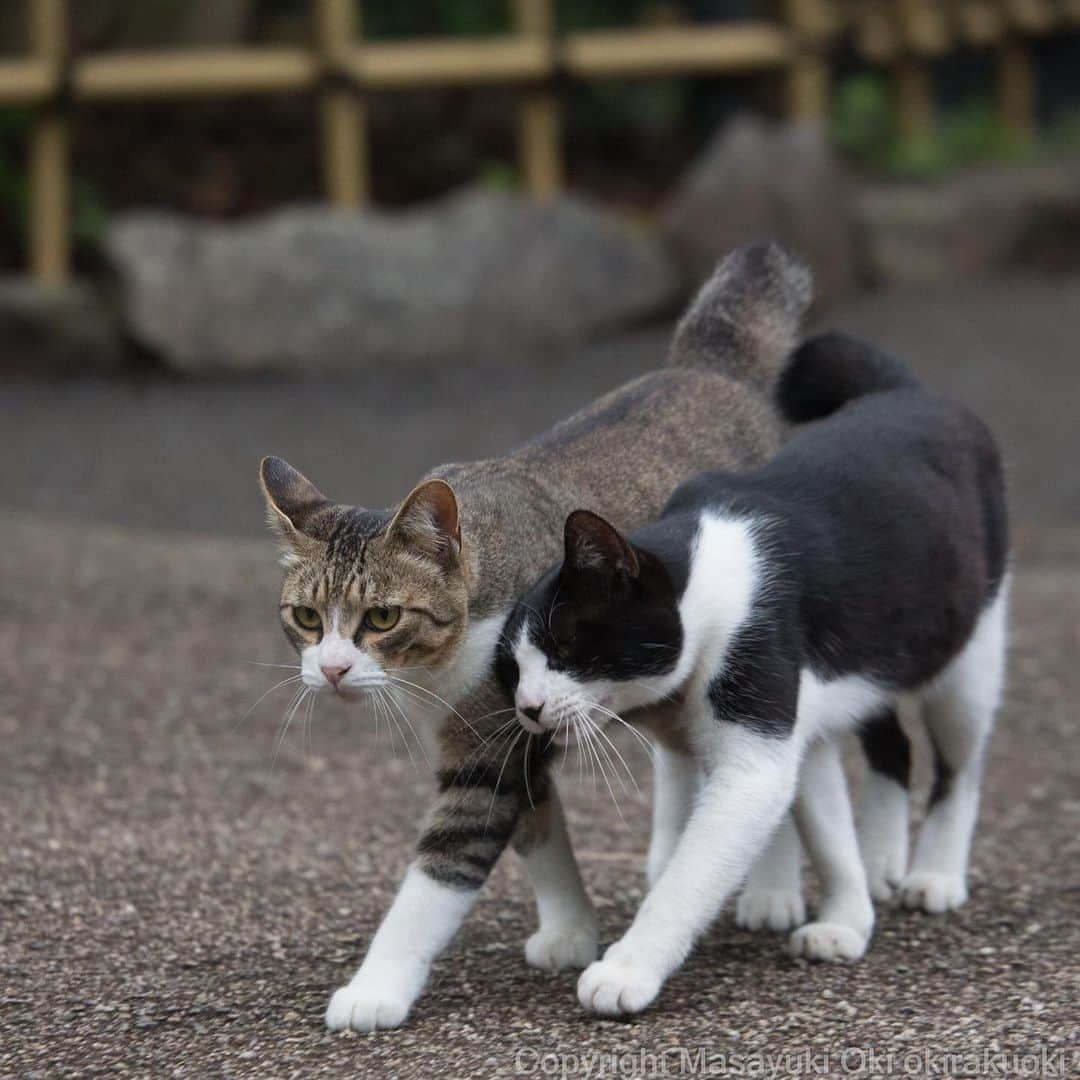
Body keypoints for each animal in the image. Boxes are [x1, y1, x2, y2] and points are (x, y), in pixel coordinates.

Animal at [501, 332, 1006, 1015]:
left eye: (567, 644)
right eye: (512, 667)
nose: (528, 707)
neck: (708, 586)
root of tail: (910, 391)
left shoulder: (758, 717)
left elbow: (691, 870)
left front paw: (627, 969)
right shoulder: (796, 728)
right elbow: (823, 827)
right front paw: (848, 919)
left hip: (966, 652)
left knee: (961, 764)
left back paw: (936, 874)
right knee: (893, 747)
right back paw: (881, 860)